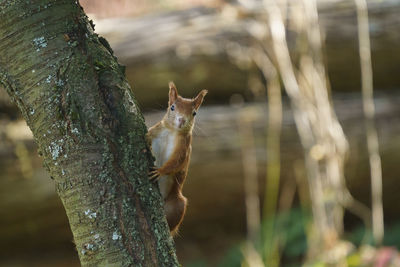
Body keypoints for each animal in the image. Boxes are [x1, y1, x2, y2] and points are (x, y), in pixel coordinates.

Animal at [148, 82, 209, 237]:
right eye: (172, 107)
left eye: (194, 113)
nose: (181, 120)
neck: (172, 132)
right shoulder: (154, 131)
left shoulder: (184, 148)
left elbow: (176, 162)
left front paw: (160, 171)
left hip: (176, 203)